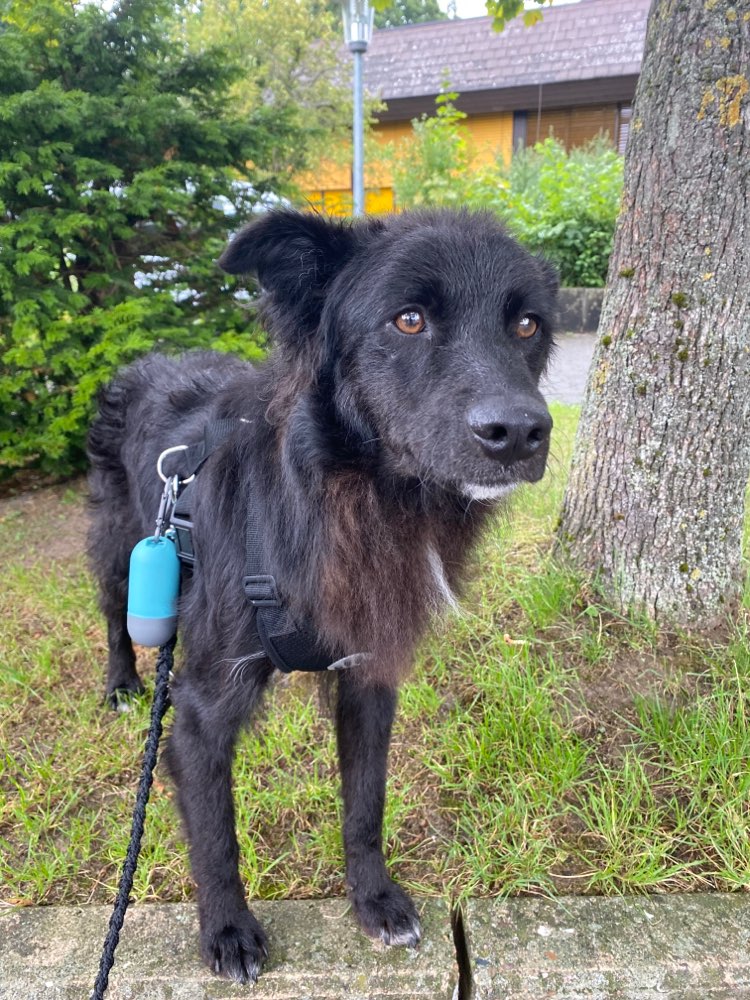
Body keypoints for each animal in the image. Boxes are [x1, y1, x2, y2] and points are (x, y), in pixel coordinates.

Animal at [88, 207, 560, 980]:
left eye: (527, 325)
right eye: (408, 319)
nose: (520, 432)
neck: (348, 497)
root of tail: (144, 360)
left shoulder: (369, 678)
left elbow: (365, 804)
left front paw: (374, 899)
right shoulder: (201, 707)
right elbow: (215, 836)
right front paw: (228, 931)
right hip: (121, 550)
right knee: (112, 618)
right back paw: (124, 685)